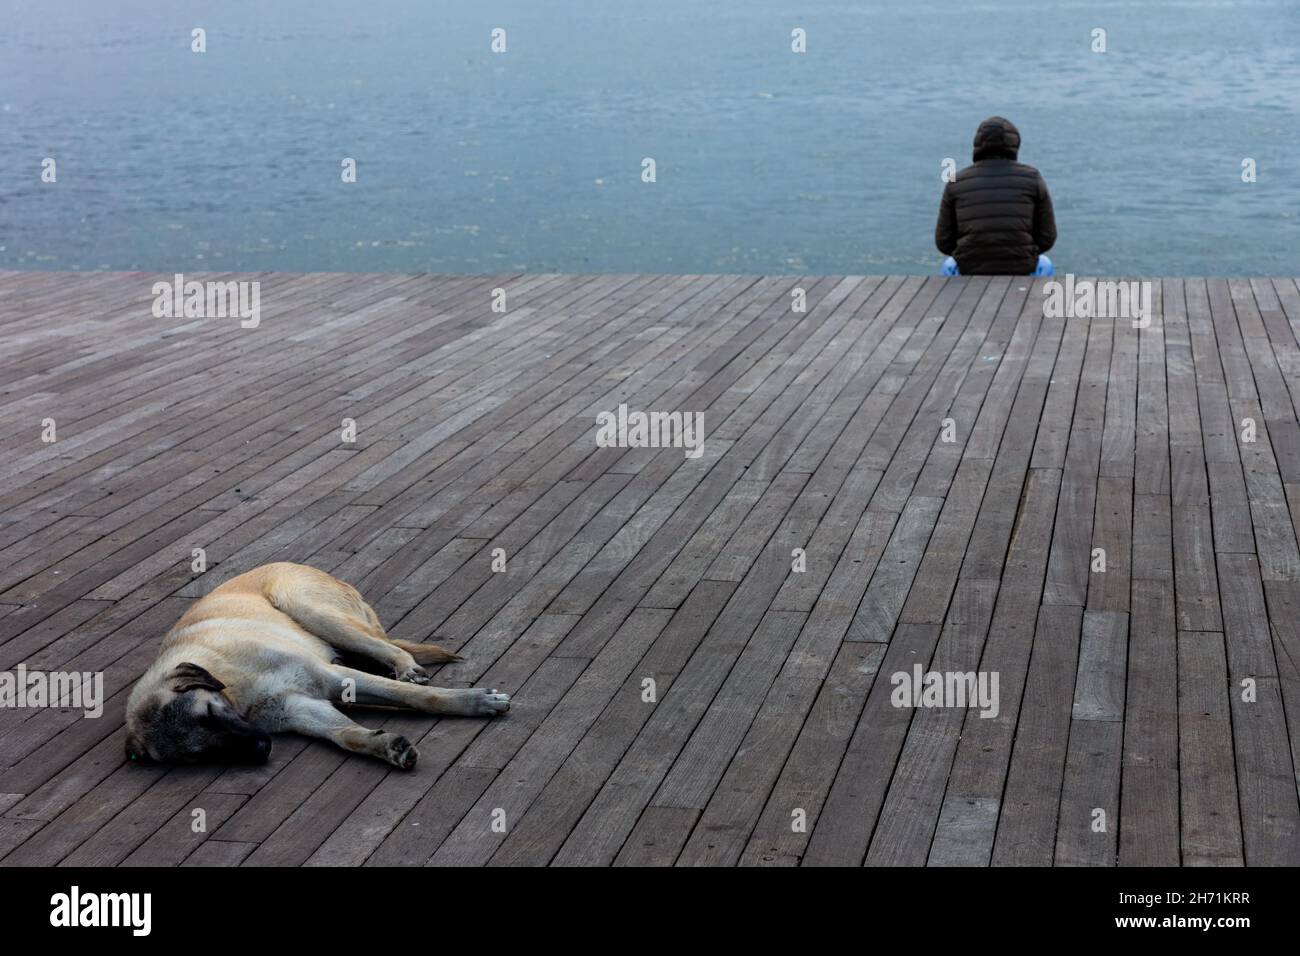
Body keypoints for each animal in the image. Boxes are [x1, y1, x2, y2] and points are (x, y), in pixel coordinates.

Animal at [122, 561, 506, 770]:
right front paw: (385, 746)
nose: (262, 748)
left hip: (308, 607)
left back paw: (405, 666)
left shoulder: (331, 677)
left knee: (389, 648)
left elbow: (414, 696)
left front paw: (474, 702)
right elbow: (344, 734)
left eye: (211, 713)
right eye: (198, 755)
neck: (234, 685)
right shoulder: (300, 708)